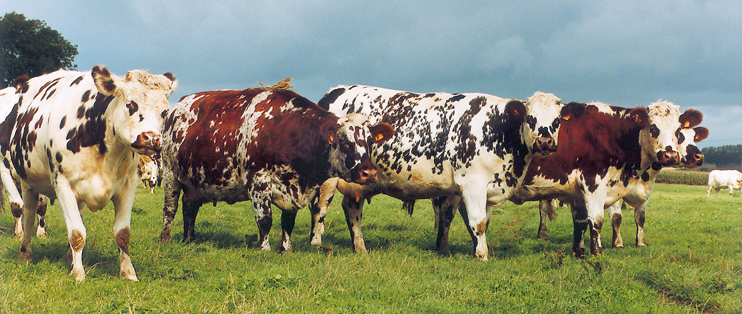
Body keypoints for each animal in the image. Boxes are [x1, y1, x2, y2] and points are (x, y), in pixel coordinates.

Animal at [0, 65, 177, 280]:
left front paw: (128, 273)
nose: (151, 138)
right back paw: (25, 253)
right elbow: (77, 233)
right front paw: (78, 274)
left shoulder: (128, 186)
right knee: (28, 216)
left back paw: (69, 256)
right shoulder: (62, 183)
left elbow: (122, 234)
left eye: (165, 111)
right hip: (28, 182)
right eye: (130, 104)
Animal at [157, 80, 396, 253]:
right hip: (170, 175)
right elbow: (265, 220)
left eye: (370, 141)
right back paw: (165, 239)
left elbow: (288, 222)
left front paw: (286, 249)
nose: (369, 172)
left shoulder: (293, 188)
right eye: (345, 142)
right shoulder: (258, 182)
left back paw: (189, 239)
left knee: (190, 208)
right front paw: (265, 249)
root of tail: (177, 107)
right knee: (170, 209)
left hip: (193, 182)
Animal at [310, 86, 568, 260]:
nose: (545, 142)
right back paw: (316, 243)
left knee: (352, 208)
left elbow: (471, 221)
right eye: (530, 118)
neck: (499, 129)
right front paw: (482, 256)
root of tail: (334, 92)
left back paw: (360, 247)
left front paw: (462, 249)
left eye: (557, 121)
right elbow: (478, 222)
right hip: (328, 179)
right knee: (320, 207)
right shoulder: (473, 184)